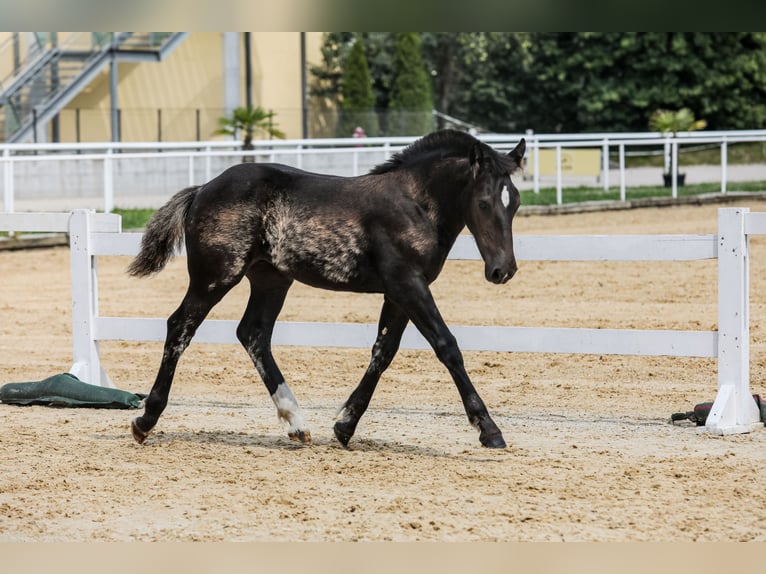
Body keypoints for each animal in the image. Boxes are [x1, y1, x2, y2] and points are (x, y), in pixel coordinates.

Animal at [130, 129, 528, 450]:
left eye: (516, 201)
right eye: (483, 202)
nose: (503, 270)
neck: (414, 204)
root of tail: (202, 190)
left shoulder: (400, 292)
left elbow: (383, 352)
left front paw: (344, 426)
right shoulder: (408, 284)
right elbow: (447, 346)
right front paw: (489, 429)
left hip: (271, 280)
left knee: (253, 334)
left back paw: (296, 424)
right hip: (215, 277)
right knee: (181, 327)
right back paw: (145, 419)